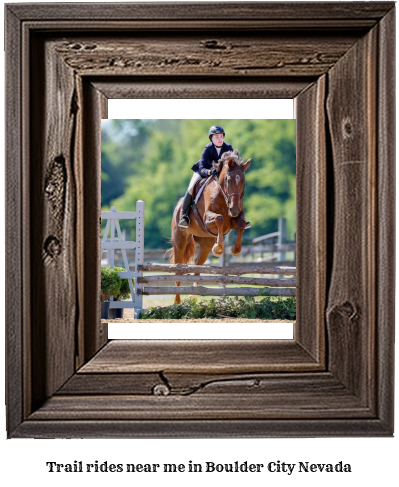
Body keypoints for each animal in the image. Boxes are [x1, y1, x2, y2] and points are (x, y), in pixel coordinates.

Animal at [167, 149, 252, 304]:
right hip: (180, 242)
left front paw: (235, 250)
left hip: (205, 243)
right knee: (178, 270)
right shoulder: (207, 219)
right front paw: (218, 249)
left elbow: (241, 224)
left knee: (197, 266)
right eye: (228, 180)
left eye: (243, 181)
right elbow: (219, 219)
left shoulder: (234, 220)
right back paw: (177, 301)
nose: (235, 209)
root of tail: (177, 207)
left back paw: (193, 295)